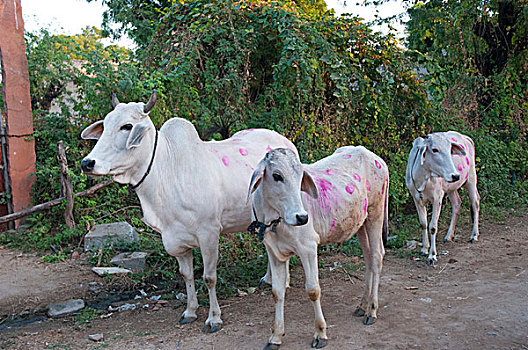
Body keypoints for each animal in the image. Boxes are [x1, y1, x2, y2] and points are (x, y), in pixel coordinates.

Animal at [81, 92, 300, 334]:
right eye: (106, 124)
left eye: (127, 126)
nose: (87, 163)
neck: (166, 172)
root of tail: (284, 141)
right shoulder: (174, 240)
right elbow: (187, 275)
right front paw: (190, 311)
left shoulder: (209, 233)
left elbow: (209, 277)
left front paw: (214, 318)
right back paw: (269, 278)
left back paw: (283, 281)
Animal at [246, 146, 388, 348]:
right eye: (276, 176)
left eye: (300, 177)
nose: (302, 217)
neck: (275, 219)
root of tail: (374, 157)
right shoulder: (274, 253)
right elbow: (277, 292)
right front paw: (276, 336)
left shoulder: (308, 248)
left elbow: (313, 290)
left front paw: (320, 333)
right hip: (361, 223)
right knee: (368, 258)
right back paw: (362, 305)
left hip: (375, 214)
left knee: (376, 257)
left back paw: (372, 310)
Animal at [406, 131, 480, 266]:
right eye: (434, 150)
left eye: (450, 150)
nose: (455, 175)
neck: (423, 177)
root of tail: (467, 138)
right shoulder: (416, 198)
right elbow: (423, 224)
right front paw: (424, 249)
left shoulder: (437, 198)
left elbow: (433, 227)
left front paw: (432, 256)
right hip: (451, 188)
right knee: (457, 203)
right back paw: (449, 236)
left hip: (471, 178)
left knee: (475, 202)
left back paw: (473, 235)